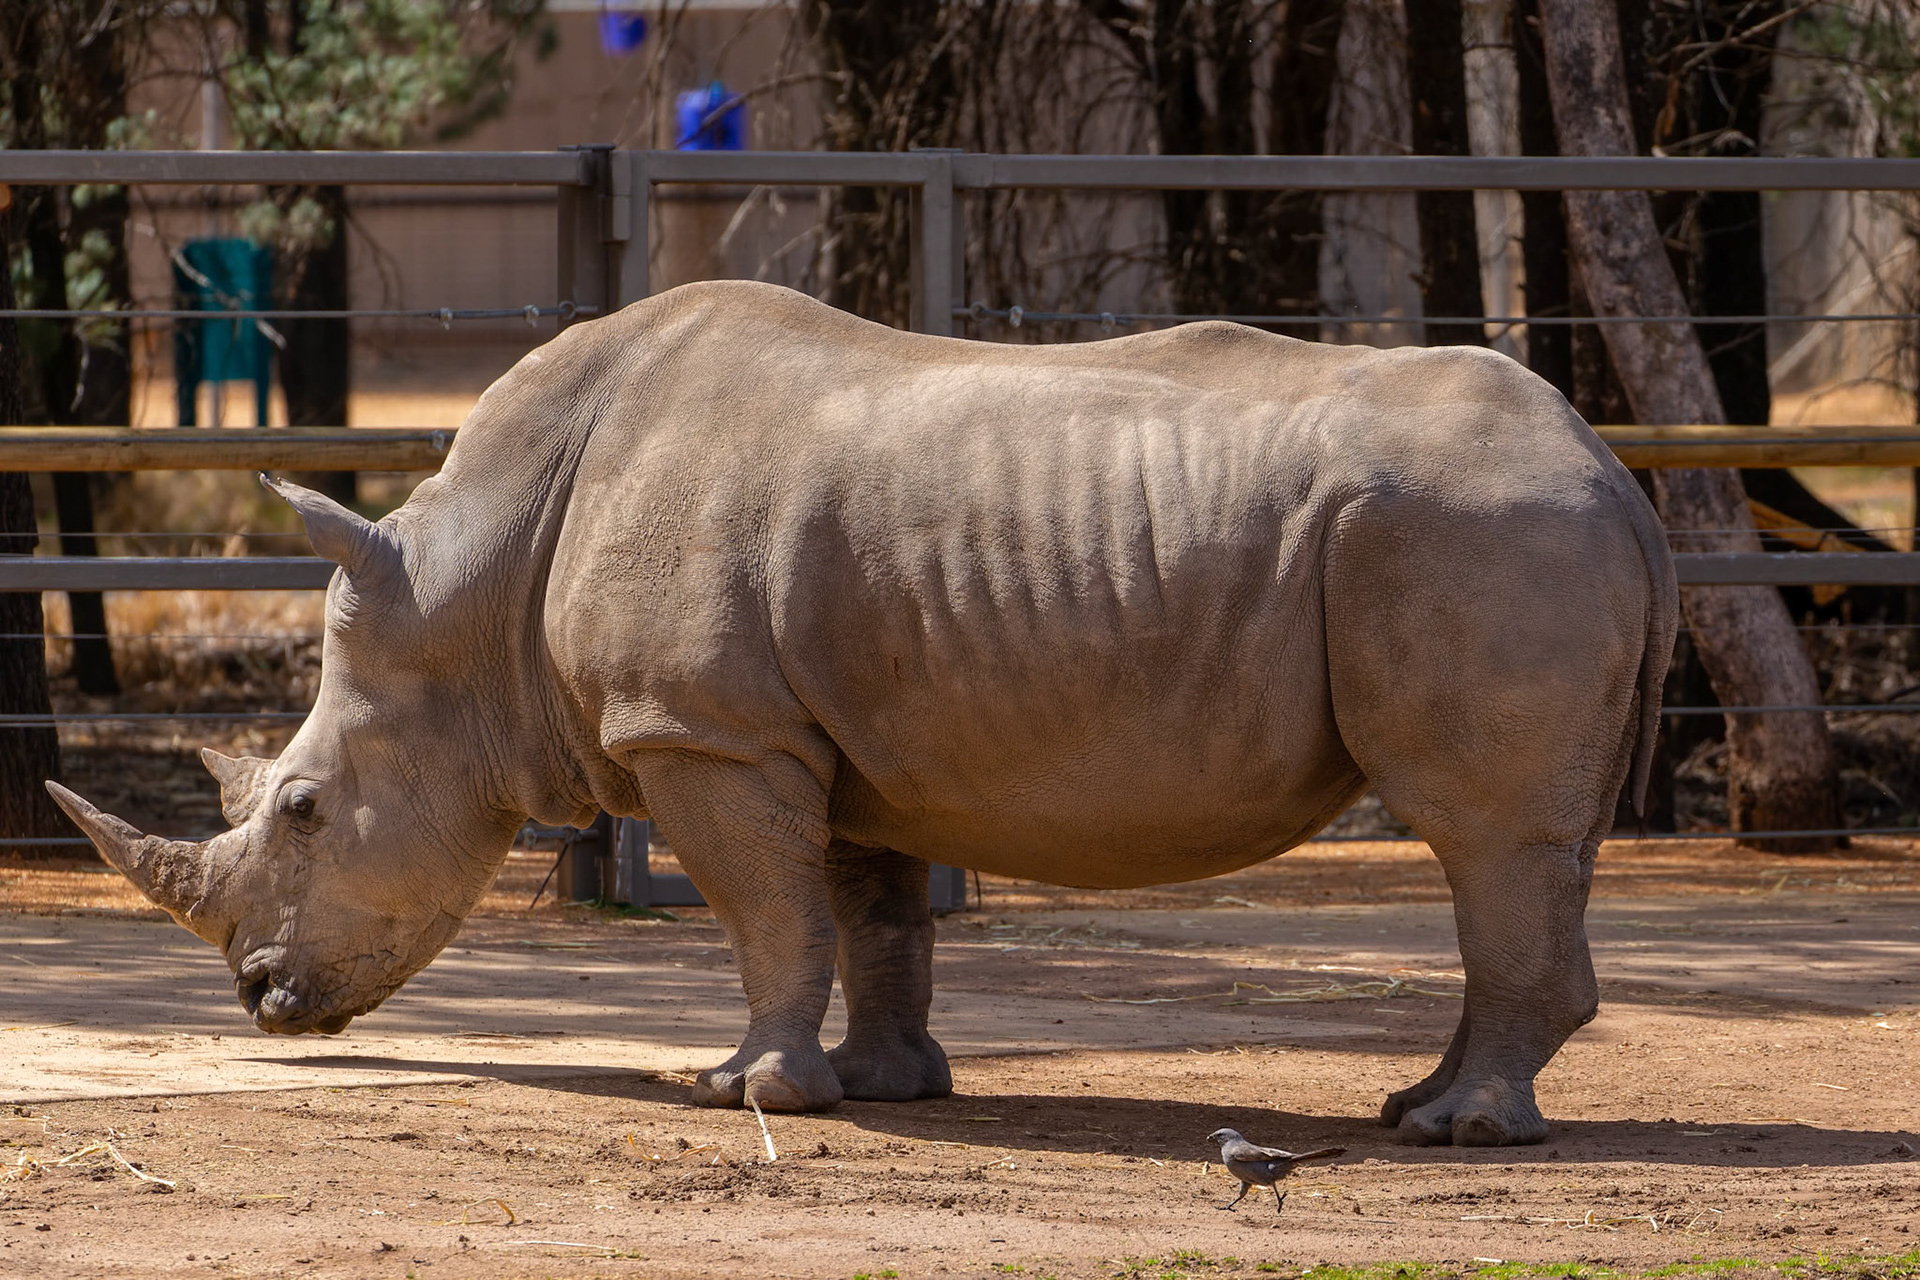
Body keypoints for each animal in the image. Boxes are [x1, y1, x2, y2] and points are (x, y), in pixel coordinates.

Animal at [48, 280, 1676, 1147]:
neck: (469, 590)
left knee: (1481, 832)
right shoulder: (834, 729)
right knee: (1519, 845)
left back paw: (1462, 1130)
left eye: (305, 808)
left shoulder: (702, 728)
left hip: (1478, 530)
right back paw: (1417, 1107)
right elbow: (871, 908)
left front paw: (741, 1088)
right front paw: (896, 1084)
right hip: (1512, 528)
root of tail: (1614, 473)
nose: (261, 998)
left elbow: (768, 913)